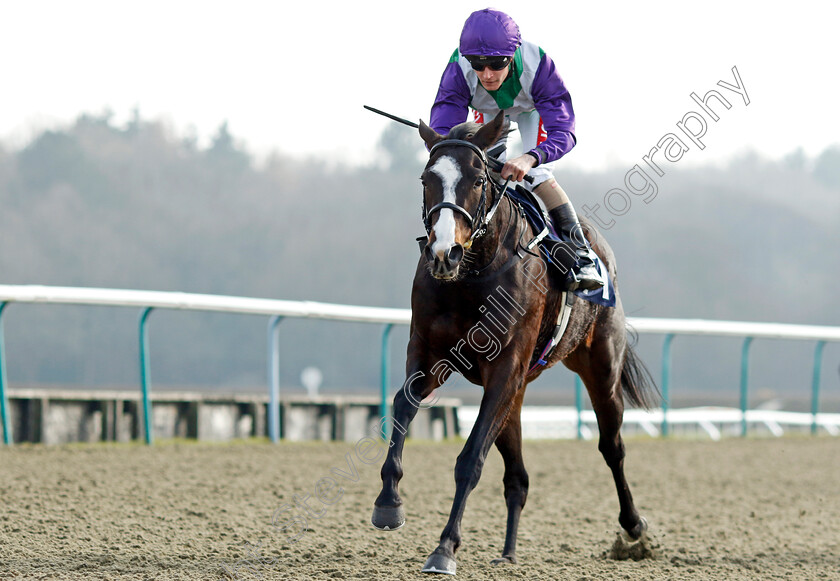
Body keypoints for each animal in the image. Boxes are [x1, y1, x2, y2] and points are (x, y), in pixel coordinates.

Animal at [370, 111, 660, 572]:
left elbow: (471, 458)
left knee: (611, 446)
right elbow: (402, 406)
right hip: (518, 391)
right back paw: (507, 552)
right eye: (426, 179)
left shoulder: (505, 366)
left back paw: (633, 527)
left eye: (476, 179)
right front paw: (388, 502)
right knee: (518, 477)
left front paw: (444, 548)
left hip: (600, 367)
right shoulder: (430, 353)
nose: (443, 253)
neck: (472, 275)